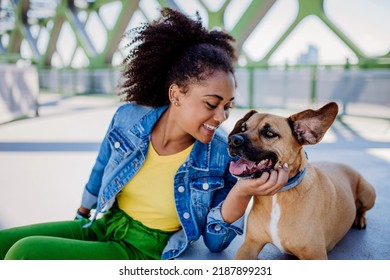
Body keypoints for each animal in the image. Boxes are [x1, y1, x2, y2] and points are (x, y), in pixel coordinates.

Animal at [229, 101, 374, 260]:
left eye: (269, 133)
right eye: (243, 128)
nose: (233, 140)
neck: (278, 195)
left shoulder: (316, 255)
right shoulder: (250, 244)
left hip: (368, 195)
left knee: (362, 209)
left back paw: (360, 219)